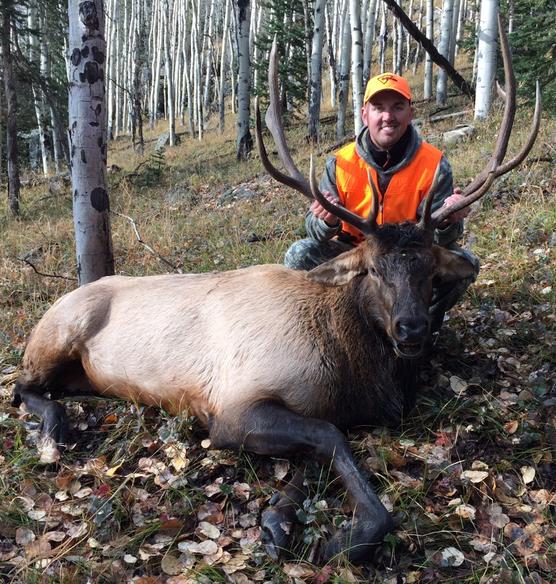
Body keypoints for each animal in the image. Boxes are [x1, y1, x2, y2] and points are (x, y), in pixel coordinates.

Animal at [14, 19, 540, 564]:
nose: (411, 328)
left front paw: (277, 519)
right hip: (56, 333)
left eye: (431, 269)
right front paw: (339, 535)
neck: (352, 369)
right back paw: (53, 435)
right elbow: (331, 439)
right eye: (372, 269)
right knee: (22, 385)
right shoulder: (233, 406)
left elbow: (319, 448)